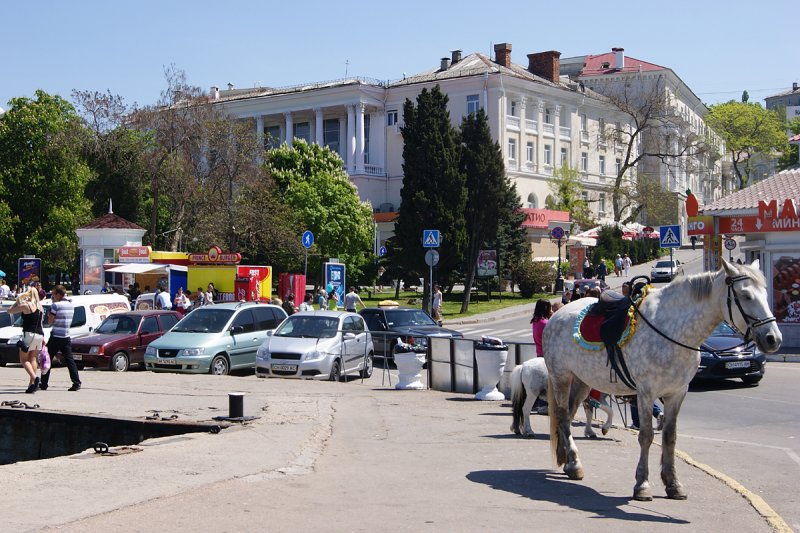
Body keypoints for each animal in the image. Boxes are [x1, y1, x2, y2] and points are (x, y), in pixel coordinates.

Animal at [544, 260, 780, 500]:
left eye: (765, 293)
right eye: (746, 296)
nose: (773, 339)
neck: (672, 330)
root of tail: (557, 314)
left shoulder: (677, 393)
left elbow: (669, 436)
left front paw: (673, 483)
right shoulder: (646, 394)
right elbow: (646, 436)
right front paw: (642, 484)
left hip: (582, 381)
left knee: (569, 415)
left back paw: (566, 459)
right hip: (561, 377)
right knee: (562, 416)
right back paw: (574, 464)